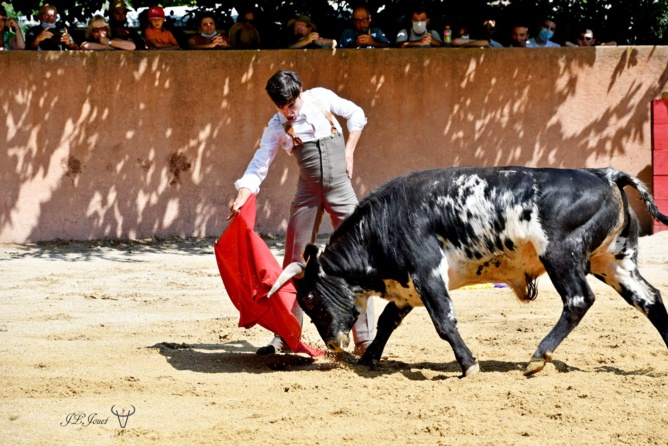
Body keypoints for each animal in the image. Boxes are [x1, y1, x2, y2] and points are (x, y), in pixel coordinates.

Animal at [268, 167, 668, 376]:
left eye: (308, 297)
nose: (333, 344)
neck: (383, 225)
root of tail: (605, 174)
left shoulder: (427, 274)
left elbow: (444, 321)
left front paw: (468, 364)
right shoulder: (407, 286)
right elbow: (386, 321)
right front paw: (369, 359)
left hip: (562, 256)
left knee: (578, 299)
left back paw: (538, 357)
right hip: (613, 261)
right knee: (650, 298)